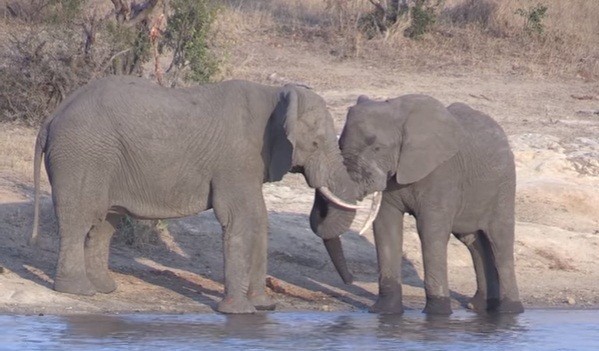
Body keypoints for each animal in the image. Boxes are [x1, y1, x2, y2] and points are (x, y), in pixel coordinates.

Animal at [31, 75, 360, 314]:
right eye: (315, 144)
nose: (352, 282)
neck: (274, 95)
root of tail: (51, 118)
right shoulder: (235, 159)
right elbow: (240, 219)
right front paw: (239, 313)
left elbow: (258, 219)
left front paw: (265, 308)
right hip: (82, 155)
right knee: (79, 219)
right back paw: (78, 291)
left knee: (104, 223)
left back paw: (104, 289)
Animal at [310, 94, 524, 316]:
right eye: (340, 145)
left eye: (377, 148)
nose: (350, 281)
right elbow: (386, 227)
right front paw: (384, 312)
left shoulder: (442, 171)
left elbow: (430, 230)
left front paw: (437, 314)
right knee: (473, 242)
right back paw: (481, 306)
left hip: (504, 186)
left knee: (500, 240)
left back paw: (510, 311)